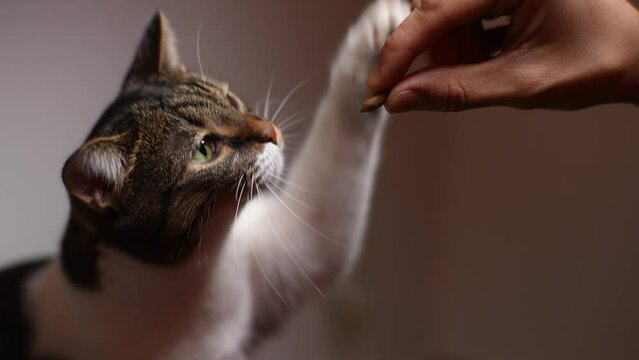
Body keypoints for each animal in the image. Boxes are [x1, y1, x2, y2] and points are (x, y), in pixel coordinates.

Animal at [0, 1, 410, 358]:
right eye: (204, 150)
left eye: (228, 97)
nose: (272, 132)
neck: (202, 272)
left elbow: (328, 222)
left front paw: (378, 33)